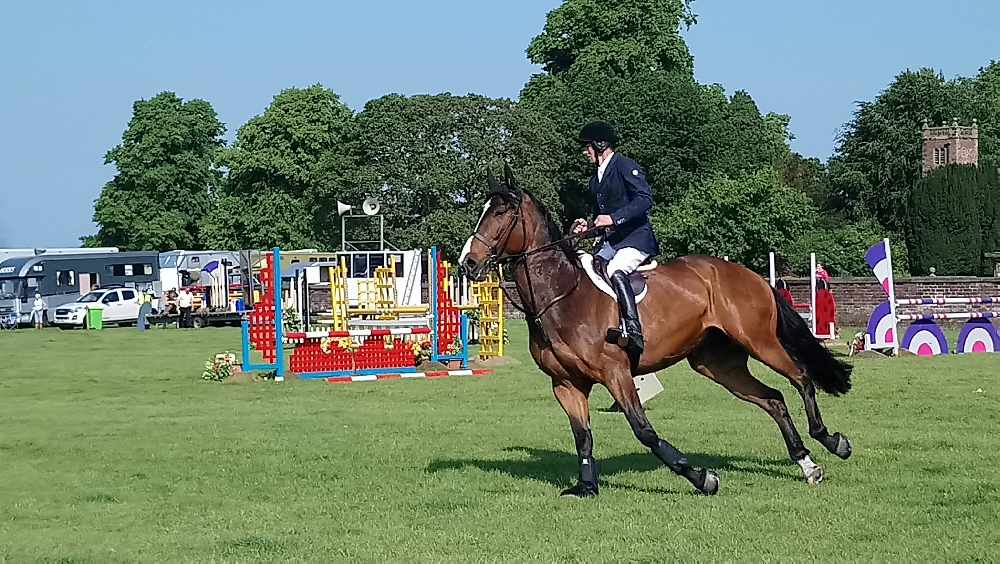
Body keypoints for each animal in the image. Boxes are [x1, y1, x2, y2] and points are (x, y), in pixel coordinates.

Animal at [459, 166, 853, 497]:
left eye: (500, 214)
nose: (467, 263)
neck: (562, 296)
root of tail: (750, 275)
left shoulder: (616, 373)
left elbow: (644, 431)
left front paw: (701, 478)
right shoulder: (566, 384)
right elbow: (582, 437)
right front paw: (586, 488)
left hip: (761, 341)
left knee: (801, 377)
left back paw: (832, 441)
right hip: (716, 364)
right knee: (773, 398)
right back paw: (806, 463)